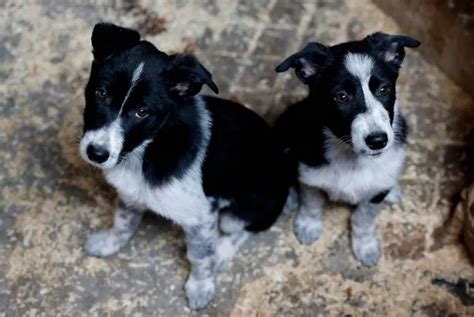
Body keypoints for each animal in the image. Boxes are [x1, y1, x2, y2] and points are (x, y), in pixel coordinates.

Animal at [80, 22, 288, 308]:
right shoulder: (130, 195)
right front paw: (109, 243)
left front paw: (201, 286)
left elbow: (199, 256)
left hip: (246, 207)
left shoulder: (201, 216)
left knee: (240, 231)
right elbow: (122, 222)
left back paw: (220, 254)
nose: (97, 153)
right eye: (101, 93)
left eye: (142, 112)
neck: (147, 149)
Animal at [276, 32, 420, 266]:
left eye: (384, 89)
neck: (351, 156)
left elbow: (363, 217)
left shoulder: (375, 192)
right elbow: (311, 201)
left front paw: (366, 246)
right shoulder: (309, 174)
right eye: (341, 96)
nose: (378, 141)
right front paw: (308, 225)